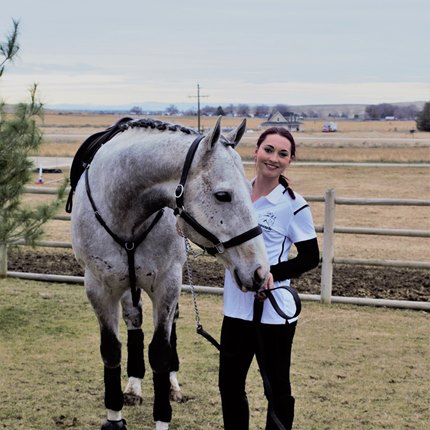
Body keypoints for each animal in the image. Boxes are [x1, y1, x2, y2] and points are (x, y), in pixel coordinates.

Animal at [68, 116, 268, 428]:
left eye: (250, 190)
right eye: (223, 195)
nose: (259, 271)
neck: (125, 212)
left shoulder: (167, 284)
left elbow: (161, 353)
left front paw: (163, 415)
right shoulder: (99, 287)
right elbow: (111, 350)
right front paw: (114, 417)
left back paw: (172, 385)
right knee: (134, 322)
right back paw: (133, 385)